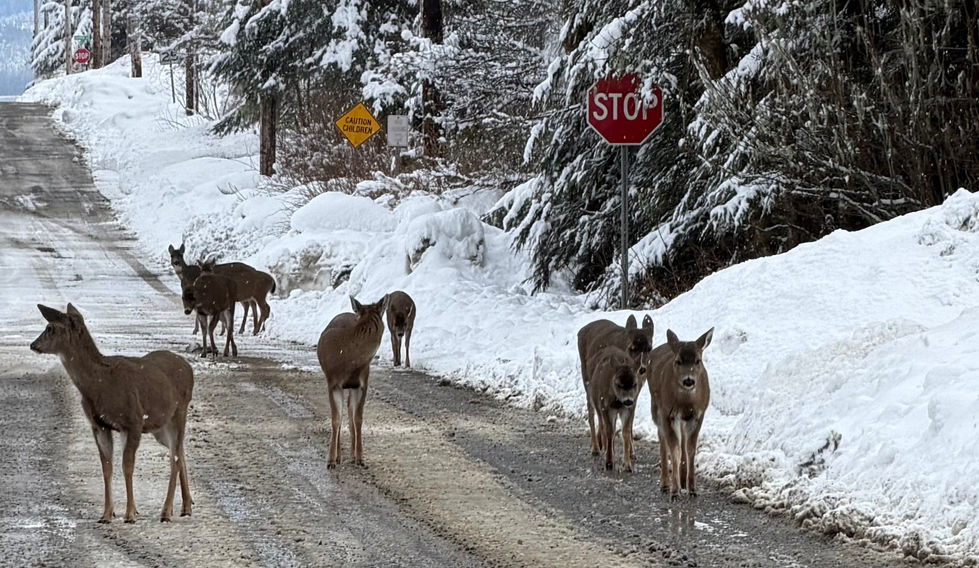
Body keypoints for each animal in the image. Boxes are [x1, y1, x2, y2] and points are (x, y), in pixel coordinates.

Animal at [30, 303, 194, 523]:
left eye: (50, 328)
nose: (33, 344)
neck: (100, 384)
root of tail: (189, 367)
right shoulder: (98, 425)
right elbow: (106, 467)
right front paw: (107, 514)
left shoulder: (133, 420)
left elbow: (127, 466)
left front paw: (130, 514)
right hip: (160, 425)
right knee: (179, 451)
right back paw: (186, 506)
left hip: (180, 410)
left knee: (174, 458)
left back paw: (166, 511)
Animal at [316, 294, 389, 469]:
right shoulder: (333, 383)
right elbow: (336, 419)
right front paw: (330, 460)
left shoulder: (361, 384)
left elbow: (358, 419)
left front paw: (360, 458)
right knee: (342, 415)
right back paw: (338, 457)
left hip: (351, 387)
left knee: (349, 413)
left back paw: (350, 455)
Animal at [577, 314, 653, 456]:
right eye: (632, 347)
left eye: (649, 348)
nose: (642, 369)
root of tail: (581, 330)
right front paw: (610, 449)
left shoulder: (634, 394)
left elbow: (629, 422)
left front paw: (631, 451)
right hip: (586, 379)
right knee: (591, 411)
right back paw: (595, 447)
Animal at [648, 328, 714, 497]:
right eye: (678, 361)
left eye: (698, 360)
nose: (688, 380)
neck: (686, 403)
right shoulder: (668, 413)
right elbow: (674, 449)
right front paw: (675, 491)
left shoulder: (698, 415)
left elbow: (690, 449)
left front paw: (692, 489)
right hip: (656, 408)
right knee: (663, 439)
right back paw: (665, 484)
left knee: (682, 441)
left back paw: (683, 481)